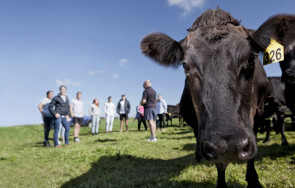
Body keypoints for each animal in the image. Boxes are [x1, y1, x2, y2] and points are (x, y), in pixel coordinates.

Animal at [142, 8, 295, 187]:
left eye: (251, 58)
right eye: (185, 65)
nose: (230, 147)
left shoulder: (258, 114)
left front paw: (253, 180)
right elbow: (220, 163)